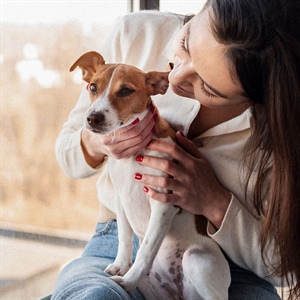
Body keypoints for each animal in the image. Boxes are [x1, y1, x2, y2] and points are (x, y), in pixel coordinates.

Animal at [69, 50, 230, 298]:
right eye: (93, 87)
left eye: (125, 91)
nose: (92, 118)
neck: (133, 157)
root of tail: (179, 295)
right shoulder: (121, 200)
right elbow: (125, 237)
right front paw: (121, 266)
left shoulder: (163, 204)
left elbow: (146, 249)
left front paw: (128, 280)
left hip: (197, 261)